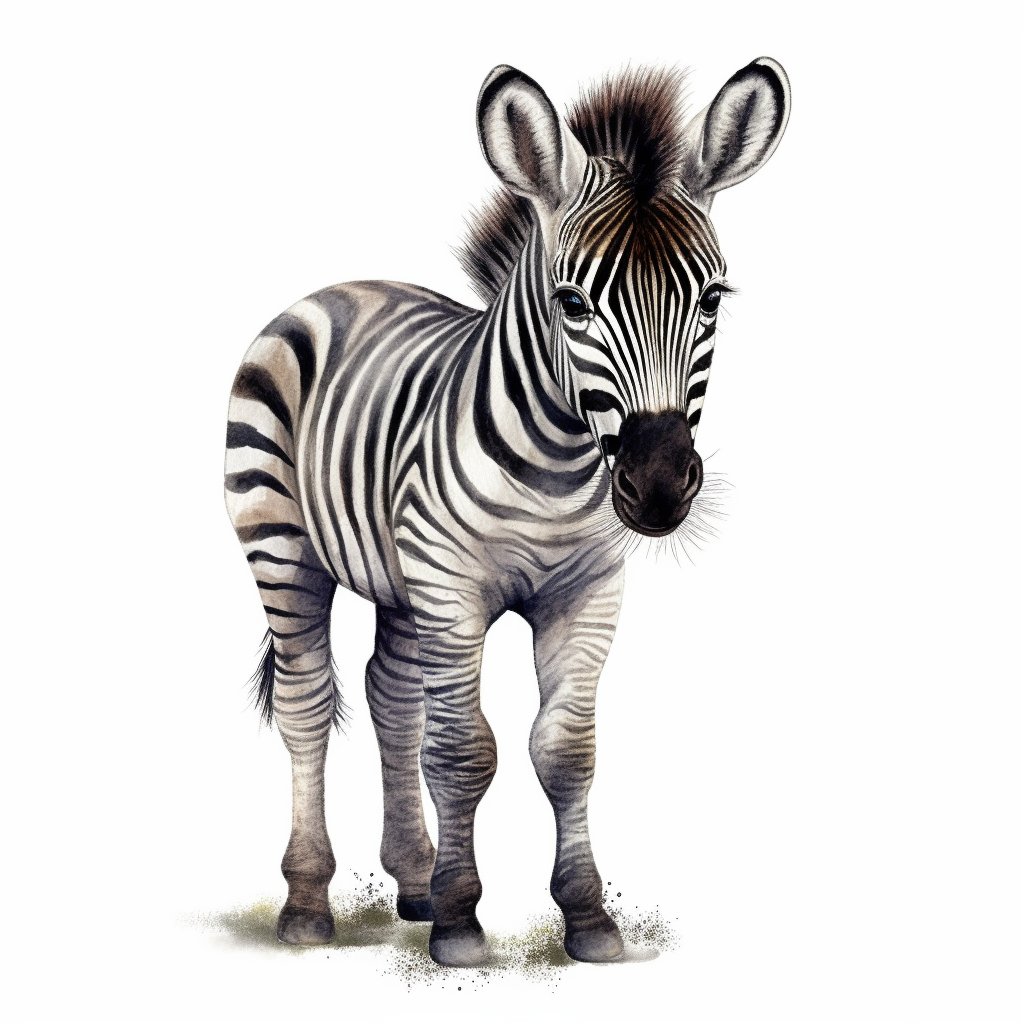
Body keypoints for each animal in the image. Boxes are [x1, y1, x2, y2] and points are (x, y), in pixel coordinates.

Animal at [224, 59, 790, 967]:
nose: (658, 486)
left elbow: (565, 751)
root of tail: (342, 287)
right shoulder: (453, 588)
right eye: (572, 302)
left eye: (712, 298)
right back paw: (309, 902)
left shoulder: (587, 592)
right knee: (309, 704)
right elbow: (462, 752)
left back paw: (413, 879)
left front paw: (587, 917)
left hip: (400, 577)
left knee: (391, 694)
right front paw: (461, 923)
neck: (556, 471)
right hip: (281, 543)